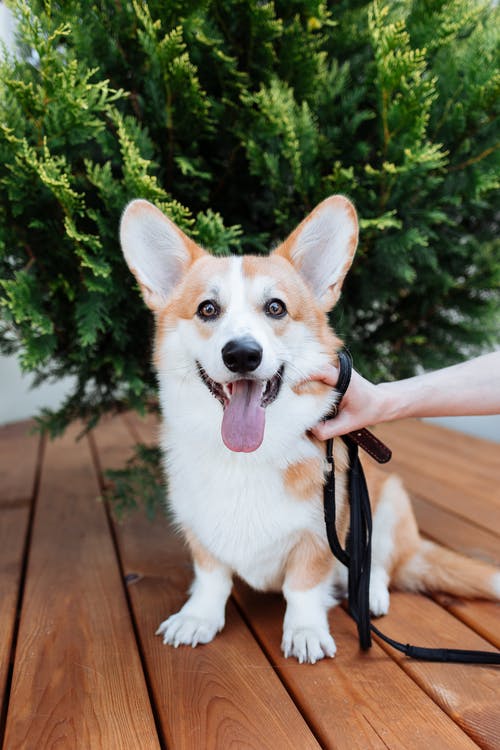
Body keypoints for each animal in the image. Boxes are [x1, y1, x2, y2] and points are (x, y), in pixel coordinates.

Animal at [119, 198, 498, 664]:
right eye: (208, 309)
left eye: (276, 308)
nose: (242, 355)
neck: (245, 458)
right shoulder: (200, 528)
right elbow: (211, 577)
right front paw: (198, 617)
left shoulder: (321, 531)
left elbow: (303, 586)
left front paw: (304, 631)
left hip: (386, 500)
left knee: (378, 563)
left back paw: (369, 595)